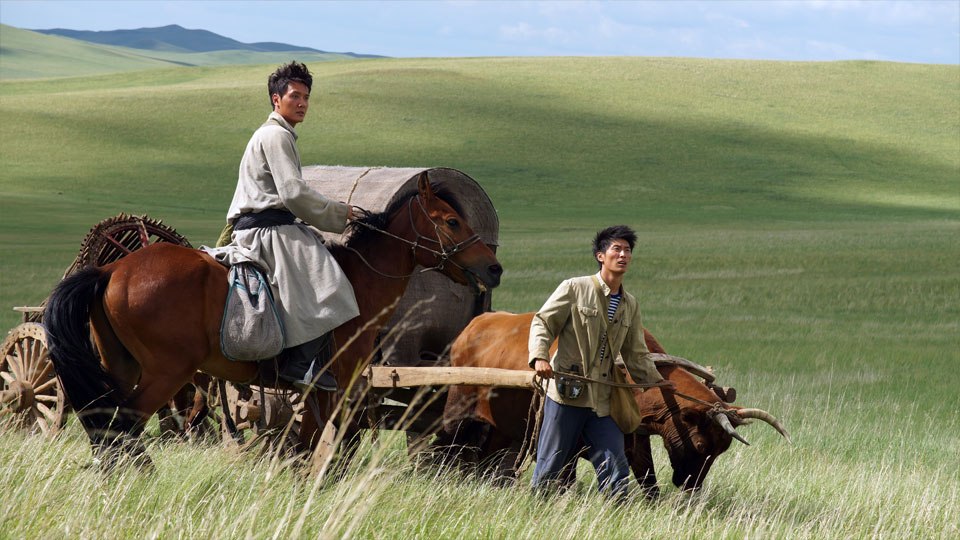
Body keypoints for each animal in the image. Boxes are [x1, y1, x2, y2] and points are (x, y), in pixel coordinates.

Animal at [43, 175, 502, 466]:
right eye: (451, 221)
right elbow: (320, 446)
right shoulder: (331, 386)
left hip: (122, 368)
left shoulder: (321, 393)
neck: (359, 282)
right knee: (125, 425)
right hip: (165, 373)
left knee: (109, 427)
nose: (494, 268)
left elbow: (312, 445)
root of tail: (111, 271)